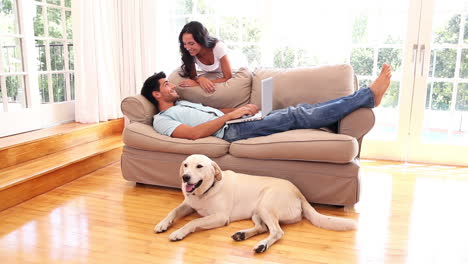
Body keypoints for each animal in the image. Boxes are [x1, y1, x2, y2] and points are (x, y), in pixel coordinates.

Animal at [155, 155, 356, 254]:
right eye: (185, 165)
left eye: (200, 166)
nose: (185, 177)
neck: (205, 191)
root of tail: (299, 193)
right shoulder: (188, 204)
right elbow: (173, 211)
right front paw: (162, 224)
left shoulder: (220, 217)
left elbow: (193, 222)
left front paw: (178, 233)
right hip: (257, 211)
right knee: (262, 228)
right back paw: (242, 235)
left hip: (266, 205)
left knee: (277, 232)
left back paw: (262, 246)